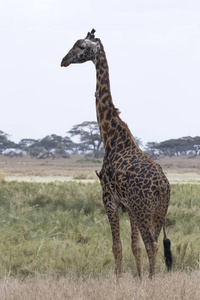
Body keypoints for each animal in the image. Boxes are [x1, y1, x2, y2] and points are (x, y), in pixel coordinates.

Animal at [60, 28, 172, 278]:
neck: (111, 137)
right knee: (153, 243)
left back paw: (152, 280)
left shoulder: (108, 197)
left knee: (152, 244)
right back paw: (150, 278)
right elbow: (134, 246)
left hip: (143, 209)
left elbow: (117, 246)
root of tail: (162, 186)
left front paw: (119, 280)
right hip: (158, 212)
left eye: (81, 46)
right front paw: (138, 279)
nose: (64, 60)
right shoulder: (128, 206)